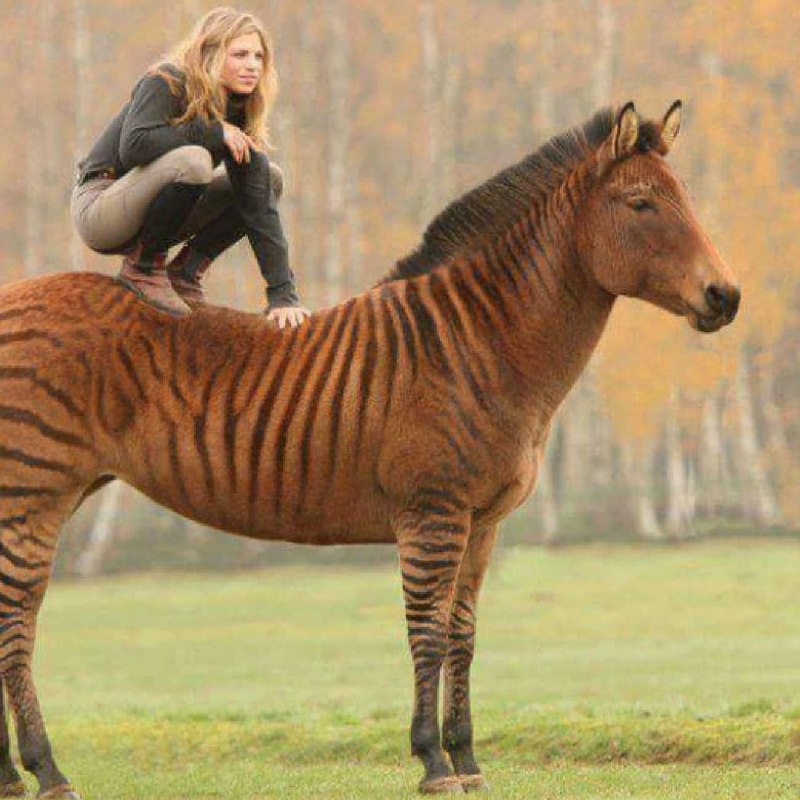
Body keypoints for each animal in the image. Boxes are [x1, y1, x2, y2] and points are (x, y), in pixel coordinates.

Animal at [0, 102, 738, 797]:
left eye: (687, 197)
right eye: (640, 203)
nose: (726, 297)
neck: (478, 345)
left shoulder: (484, 523)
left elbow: (464, 637)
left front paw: (469, 762)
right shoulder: (432, 515)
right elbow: (427, 634)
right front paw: (433, 762)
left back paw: (13, 777)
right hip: (33, 496)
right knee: (15, 628)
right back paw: (48, 772)